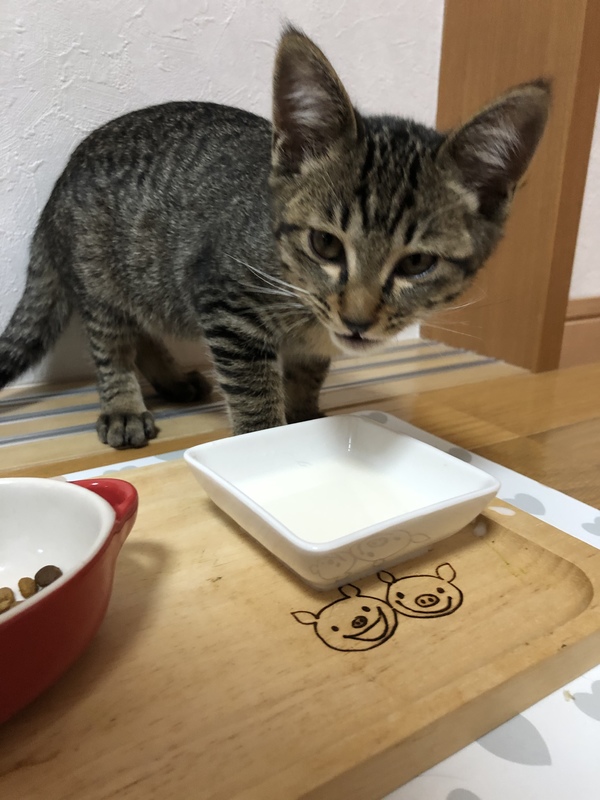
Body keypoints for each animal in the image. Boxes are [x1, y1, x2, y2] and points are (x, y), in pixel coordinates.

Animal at [0, 27, 550, 449]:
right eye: (326, 245)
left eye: (417, 264)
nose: (356, 320)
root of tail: (62, 180)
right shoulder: (226, 303)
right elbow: (255, 391)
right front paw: (264, 439)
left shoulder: (306, 337)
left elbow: (308, 370)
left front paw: (304, 412)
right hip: (100, 274)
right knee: (112, 340)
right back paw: (123, 405)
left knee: (144, 327)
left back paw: (170, 377)